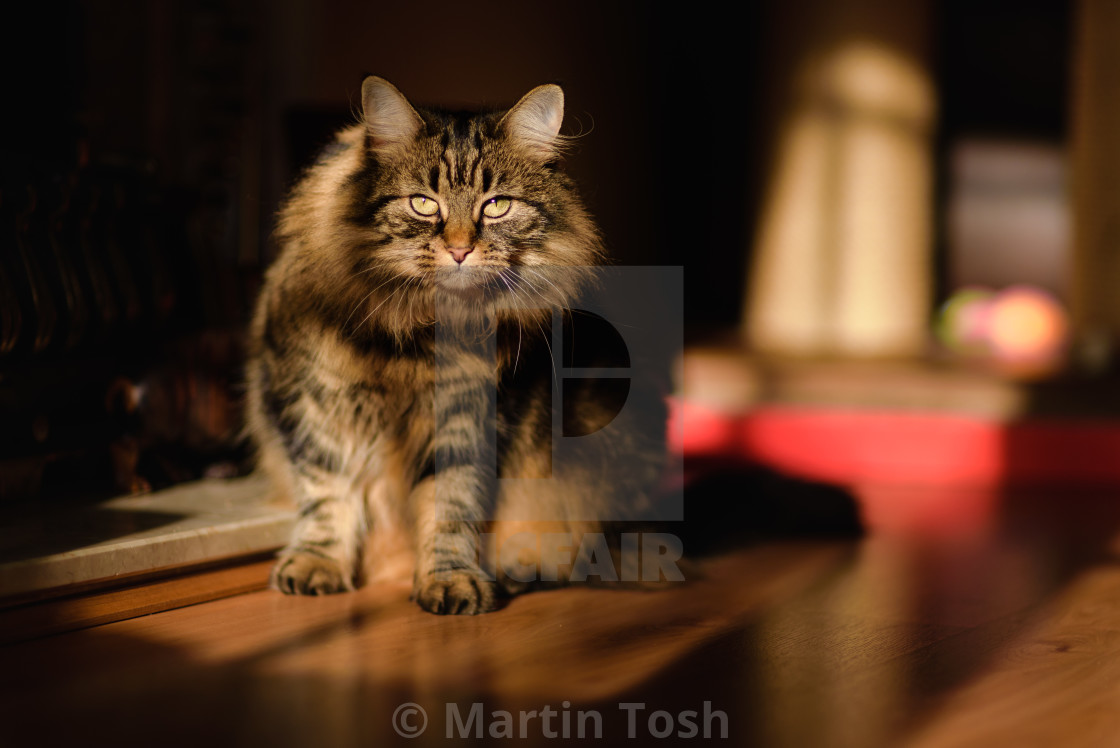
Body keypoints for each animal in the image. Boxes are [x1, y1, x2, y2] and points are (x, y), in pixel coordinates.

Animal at [247, 76, 663, 613]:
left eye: (497, 205)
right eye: (423, 203)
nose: (461, 249)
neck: (417, 335)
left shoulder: (470, 419)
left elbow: (450, 506)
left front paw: (450, 580)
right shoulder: (316, 402)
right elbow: (327, 494)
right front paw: (317, 565)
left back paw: (514, 572)